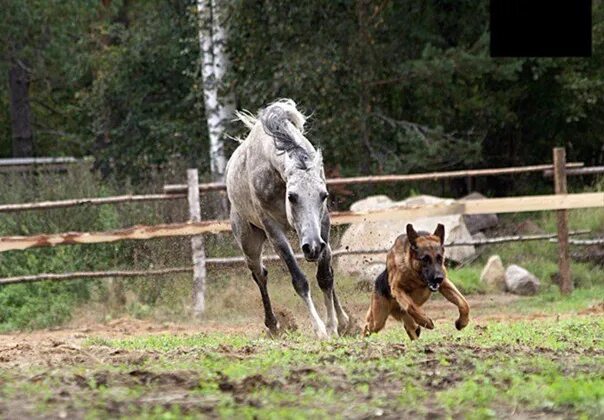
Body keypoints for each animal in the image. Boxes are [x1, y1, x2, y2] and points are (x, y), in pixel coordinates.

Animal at [225, 99, 350, 338]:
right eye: (291, 196)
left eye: (324, 195)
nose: (312, 247)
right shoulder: (274, 231)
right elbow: (300, 280)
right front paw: (320, 329)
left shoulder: (323, 225)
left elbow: (325, 276)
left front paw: (334, 325)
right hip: (249, 241)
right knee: (260, 275)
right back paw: (273, 325)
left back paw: (345, 320)